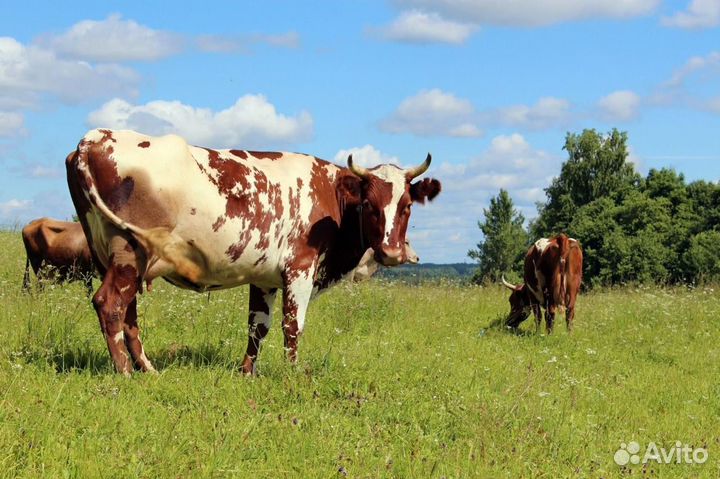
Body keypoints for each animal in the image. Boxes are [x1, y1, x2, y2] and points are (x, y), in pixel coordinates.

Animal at [67, 129, 442, 376]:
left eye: (407, 206)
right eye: (368, 205)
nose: (391, 252)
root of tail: (94, 137)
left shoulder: (264, 278)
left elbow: (257, 327)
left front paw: (248, 372)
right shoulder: (300, 269)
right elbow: (293, 326)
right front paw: (292, 374)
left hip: (112, 255)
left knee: (128, 314)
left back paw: (147, 369)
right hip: (129, 252)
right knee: (110, 305)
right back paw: (126, 372)